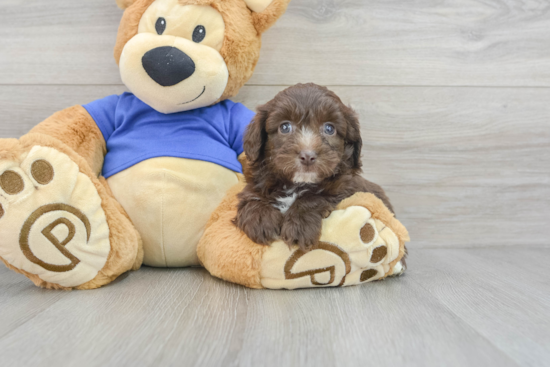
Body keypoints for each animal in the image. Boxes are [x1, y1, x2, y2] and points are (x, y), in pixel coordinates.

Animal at [235, 83, 394, 252]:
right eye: (284, 127)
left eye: (329, 129)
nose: (307, 156)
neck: (297, 184)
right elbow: (251, 195)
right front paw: (260, 218)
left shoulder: (347, 189)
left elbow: (315, 196)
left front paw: (299, 226)